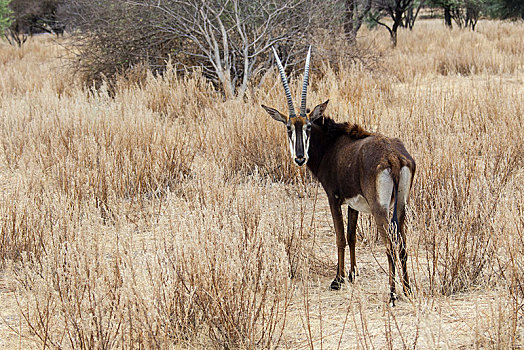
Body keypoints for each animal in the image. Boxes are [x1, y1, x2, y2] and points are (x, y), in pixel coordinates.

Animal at [264, 47, 416, 306]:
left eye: (307, 127)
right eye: (288, 127)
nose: (300, 158)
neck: (331, 144)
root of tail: (394, 157)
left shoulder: (333, 198)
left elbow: (340, 237)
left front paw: (338, 280)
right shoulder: (354, 203)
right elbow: (352, 235)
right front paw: (353, 275)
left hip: (380, 208)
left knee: (389, 243)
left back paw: (392, 294)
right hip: (401, 205)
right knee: (403, 243)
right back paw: (407, 289)